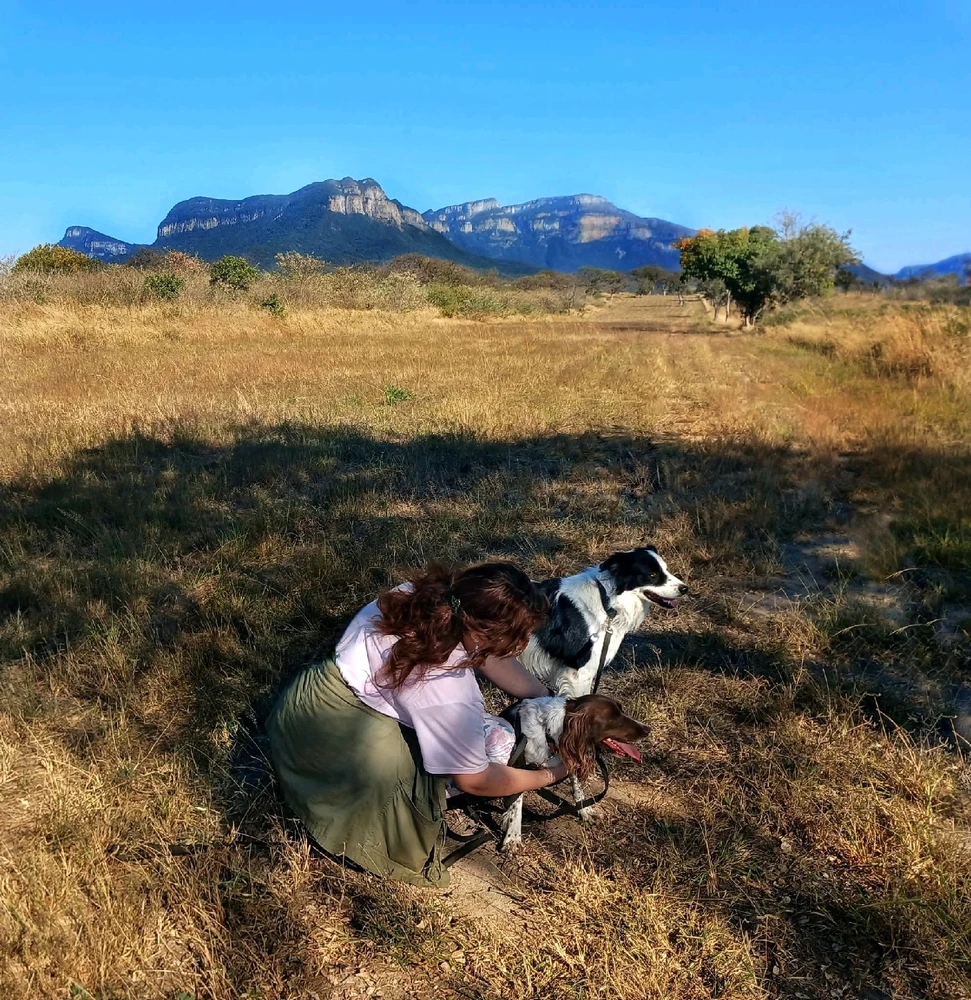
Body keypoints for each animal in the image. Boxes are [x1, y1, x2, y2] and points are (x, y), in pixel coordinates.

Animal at [497, 694, 649, 852]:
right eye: (613, 717)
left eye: (621, 711)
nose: (648, 729)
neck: (550, 733)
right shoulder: (518, 766)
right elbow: (516, 804)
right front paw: (513, 837)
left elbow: (578, 788)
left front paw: (585, 810)